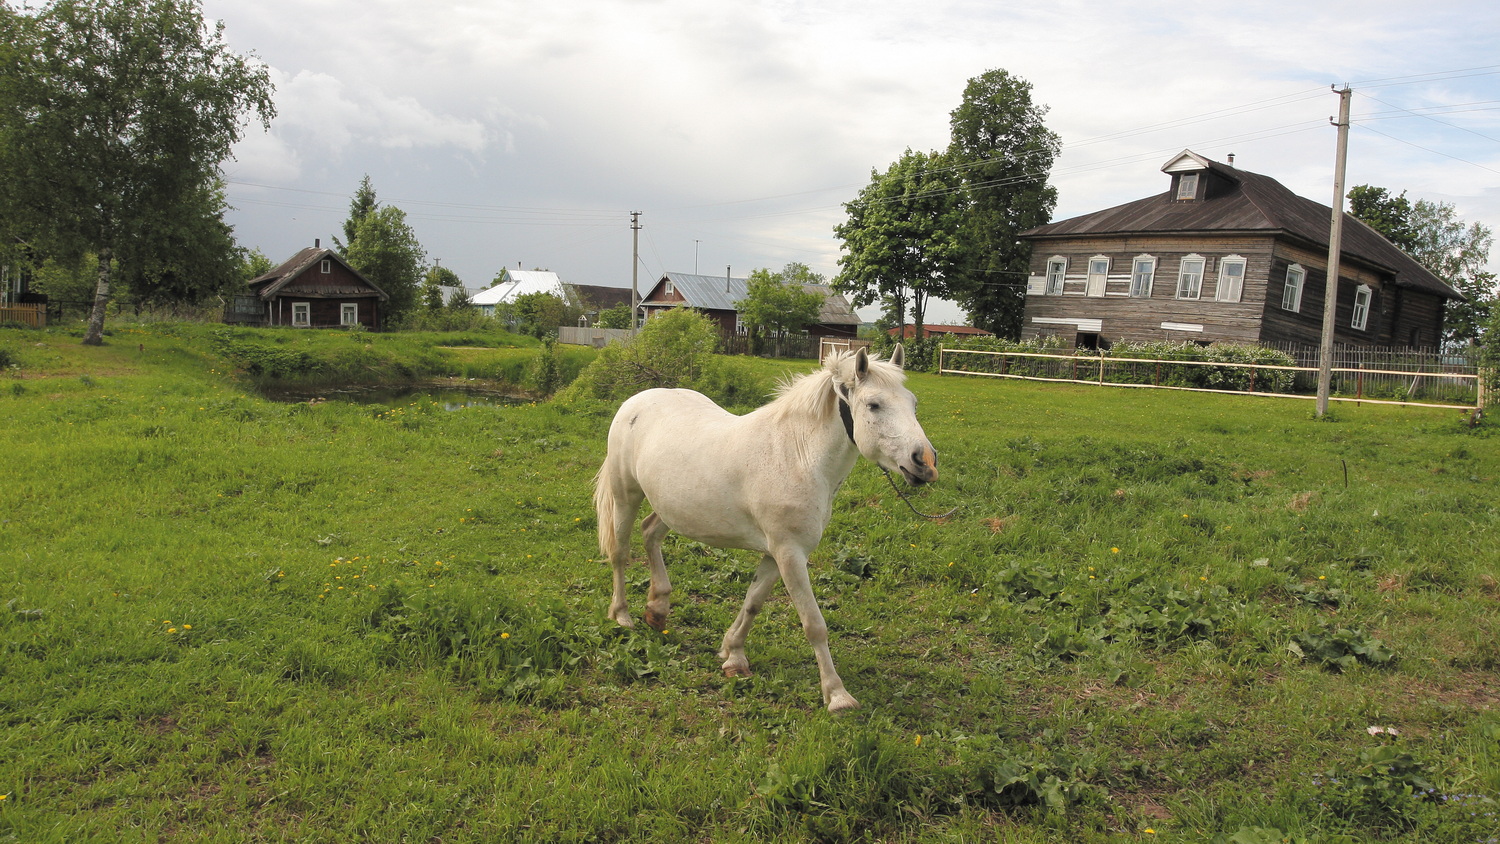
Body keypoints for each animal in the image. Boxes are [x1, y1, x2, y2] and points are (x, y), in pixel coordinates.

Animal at [594, 346, 936, 710]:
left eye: (913, 403)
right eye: (874, 405)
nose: (925, 462)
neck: (798, 456)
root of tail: (636, 400)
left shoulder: (776, 554)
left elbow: (753, 602)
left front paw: (733, 655)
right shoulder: (790, 554)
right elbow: (814, 624)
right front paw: (836, 695)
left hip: (672, 508)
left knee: (650, 533)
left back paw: (657, 609)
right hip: (626, 494)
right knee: (620, 551)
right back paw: (622, 615)